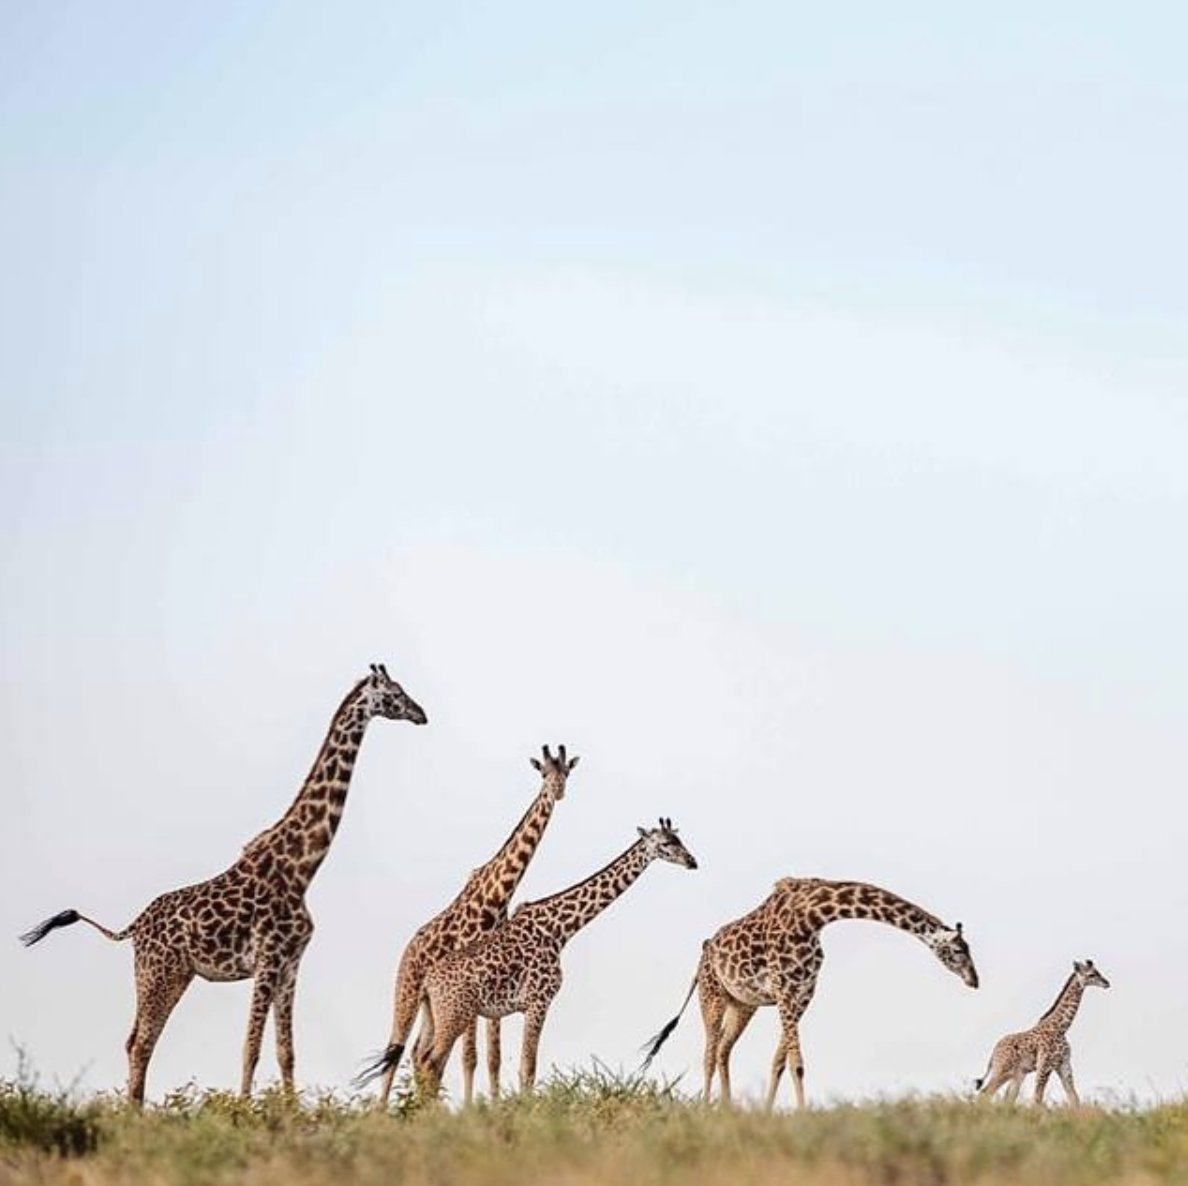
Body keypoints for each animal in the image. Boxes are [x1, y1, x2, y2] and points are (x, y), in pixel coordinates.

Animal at [20, 663, 426, 1105]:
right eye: (395, 693)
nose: (422, 714)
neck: (301, 868)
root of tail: (133, 927)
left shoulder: (291, 964)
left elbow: (286, 1051)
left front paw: (290, 1110)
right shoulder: (267, 959)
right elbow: (251, 1047)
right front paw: (245, 1109)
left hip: (177, 974)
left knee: (136, 1040)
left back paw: (136, 1108)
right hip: (157, 972)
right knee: (141, 1042)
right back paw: (134, 1112)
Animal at [360, 817, 698, 1099]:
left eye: (680, 839)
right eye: (666, 844)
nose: (692, 862)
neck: (560, 930)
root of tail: (429, 982)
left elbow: (521, 1066)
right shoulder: (538, 1002)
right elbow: (528, 1068)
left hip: (433, 1013)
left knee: (420, 1058)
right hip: (452, 1014)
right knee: (430, 1062)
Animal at [366, 744, 580, 1108]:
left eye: (567, 771)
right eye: (543, 773)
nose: (558, 791)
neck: (496, 895)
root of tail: (407, 950)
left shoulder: (496, 984)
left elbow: (493, 1057)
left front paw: (492, 1106)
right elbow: (470, 1056)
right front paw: (469, 1109)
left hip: (431, 1004)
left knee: (417, 1052)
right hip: (408, 992)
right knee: (395, 1050)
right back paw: (382, 1111)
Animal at [642, 875, 979, 1108]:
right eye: (959, 950)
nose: (975, 980)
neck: (814, 916)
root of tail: (704, 952)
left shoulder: (803, 993)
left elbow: (780, 1063)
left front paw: (766, 1113)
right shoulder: (785, 990)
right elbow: (797, 1064)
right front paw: (802, 1114)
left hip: (743, 1003)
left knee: (724, 1048)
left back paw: (727, 1108)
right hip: (712, 995)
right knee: (709, 1053)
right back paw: (707, 1108)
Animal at [975, 959, 1110, 1105]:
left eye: (1098, 971)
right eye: (1091, 974)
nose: (1106, 983)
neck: (1061, 1029)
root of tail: (994, 1051)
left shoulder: (1064, 1065)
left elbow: (1074, 1098)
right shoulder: (1044, 1066)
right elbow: (1037, 1098)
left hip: (1017, 1073)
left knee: (1007, 1098)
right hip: (1003, 1069)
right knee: (985, 1093)